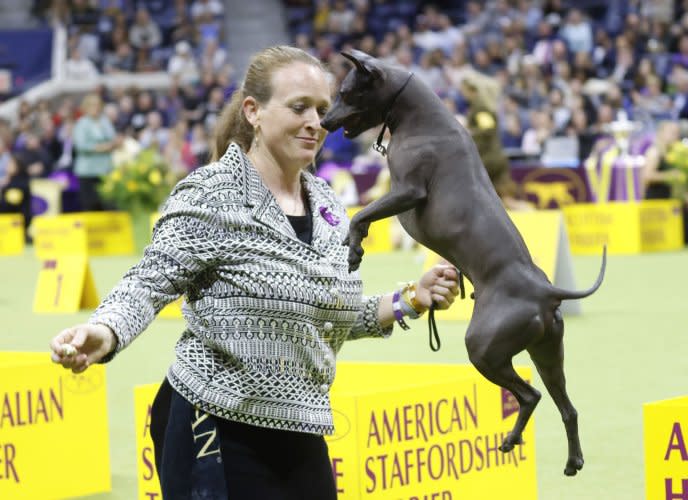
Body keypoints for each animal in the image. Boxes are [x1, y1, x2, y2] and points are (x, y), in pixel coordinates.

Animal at [320, 49, 604, 476]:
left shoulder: (407, 192)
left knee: (530, 396)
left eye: (345, 92)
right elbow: (362, 214)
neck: (422, 119)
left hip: (484, 347)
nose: (323, 121)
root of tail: (545, 290)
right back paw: (572, 460)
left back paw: (511, 438)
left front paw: (354, 249)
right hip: (548, 353)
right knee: (566, 408)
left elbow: (360, 215)